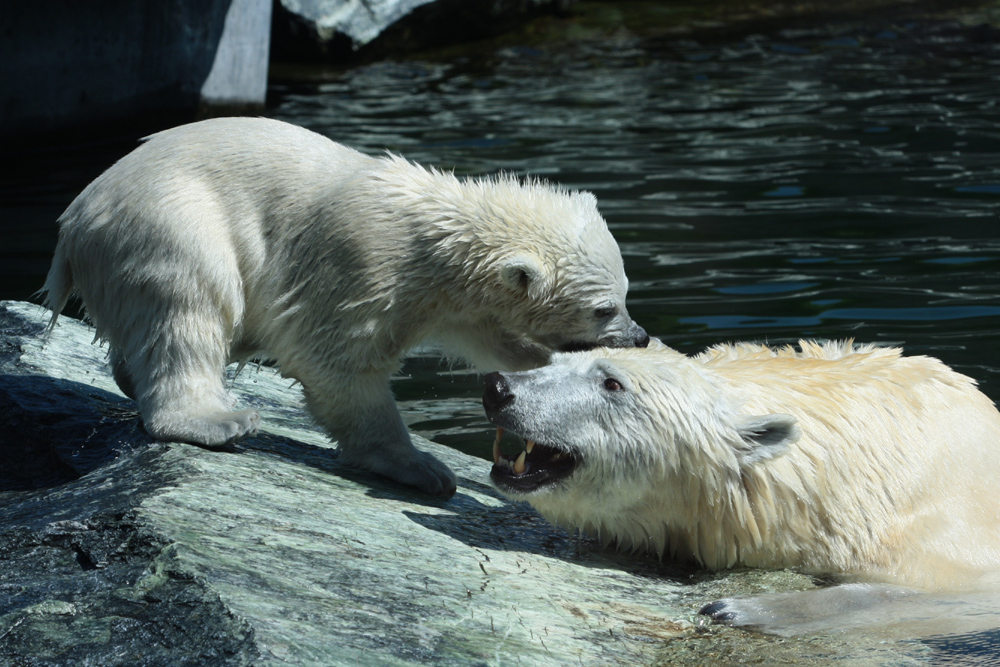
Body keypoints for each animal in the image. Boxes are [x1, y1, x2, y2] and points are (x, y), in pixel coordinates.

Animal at [41, 118, 648, 496]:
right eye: (603, 308)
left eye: (625, 294)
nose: (639, 336)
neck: (438, 236)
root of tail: (73, 222)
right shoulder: (362, 262)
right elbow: (335, 362)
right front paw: (422, 467)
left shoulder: (453, 300)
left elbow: (485, 335)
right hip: (168, 221)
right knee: (189, 305)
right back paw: (215, 418)